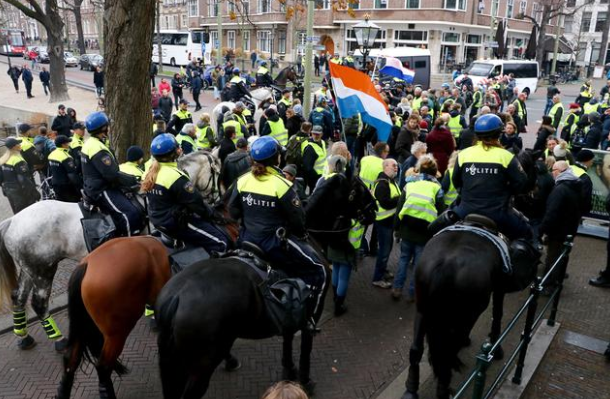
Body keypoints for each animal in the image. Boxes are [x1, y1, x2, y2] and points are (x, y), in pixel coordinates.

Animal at [0, 150, 221, 350]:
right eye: (217, 172)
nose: (216, 202)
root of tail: (13, 220)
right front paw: (151, 314)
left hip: (29, 269)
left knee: (18, 297)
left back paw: (24, 336)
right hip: (44, 270)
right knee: (39, 303)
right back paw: (59, 340)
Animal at [154, 175, 372, 399]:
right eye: (359, 189)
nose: (374, 210)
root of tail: (177, 297)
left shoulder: (290, 312)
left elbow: (287, 340)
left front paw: (288, 371)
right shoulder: (310, 314)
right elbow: (306, 347)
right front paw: (305, 380)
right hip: (201, 367)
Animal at [402, 150, 540, 399]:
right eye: (531, 168)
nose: (534, 191)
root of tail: (446, 264)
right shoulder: (499, 289)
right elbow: (498, 314)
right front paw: (497, 347)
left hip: (423, 308)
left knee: (417, 349)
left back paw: (411, 389)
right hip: (467, 313)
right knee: (448, 352)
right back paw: (444, 389)